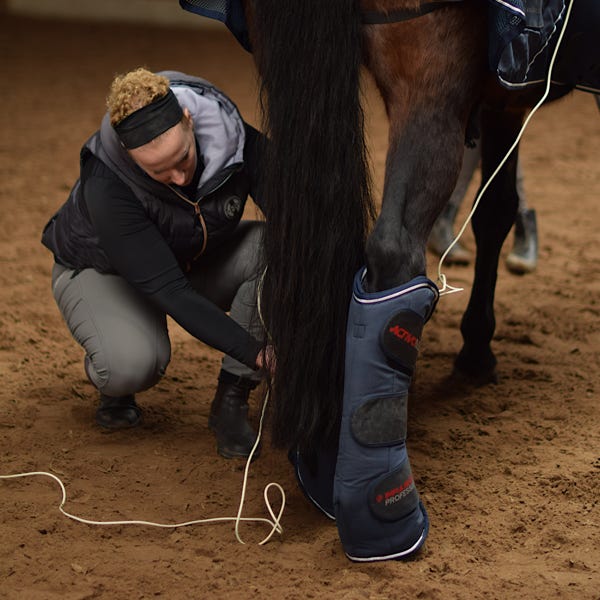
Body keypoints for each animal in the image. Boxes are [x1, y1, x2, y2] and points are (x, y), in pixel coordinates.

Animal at [180, 0, 596, 564]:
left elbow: (493, 210)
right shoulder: (505, 94)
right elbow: (495, 210)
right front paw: (476, 349)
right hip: (430, 74)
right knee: (394, 253)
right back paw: (385, 516)